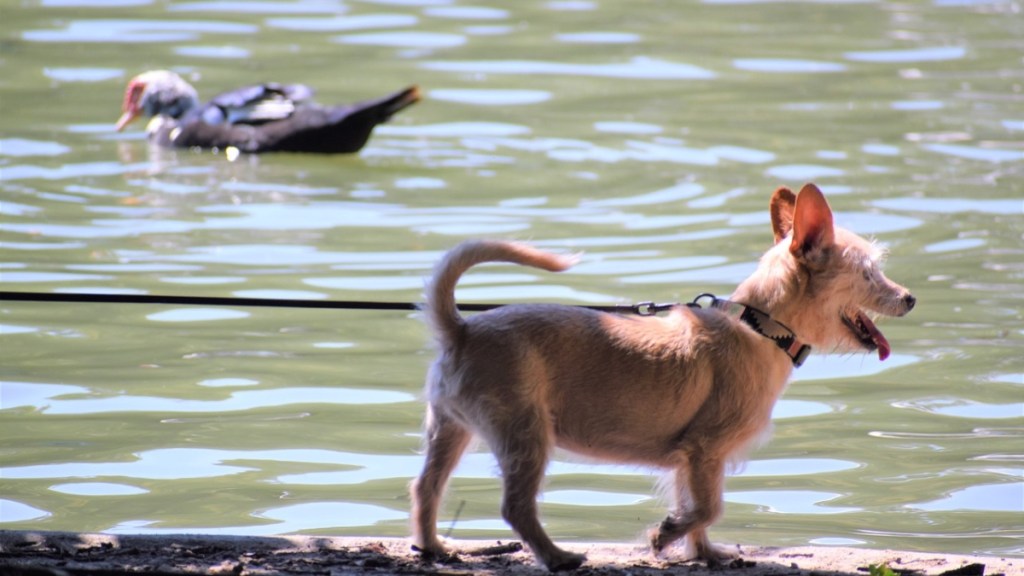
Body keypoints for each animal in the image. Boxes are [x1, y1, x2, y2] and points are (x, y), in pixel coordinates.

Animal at [411, 183, 917, 569]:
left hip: (450, 429)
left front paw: (704, 553)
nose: (910, 298)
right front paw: (664, 535)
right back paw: (557, 557)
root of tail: (461, 329)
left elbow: (698, 506)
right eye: (870, 273)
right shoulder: (705, 450)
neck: (760, 328)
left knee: (426, 487)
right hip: (526, 434)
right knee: (515, 506)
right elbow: (708, 506)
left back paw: (434, 546)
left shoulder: (692, 461)